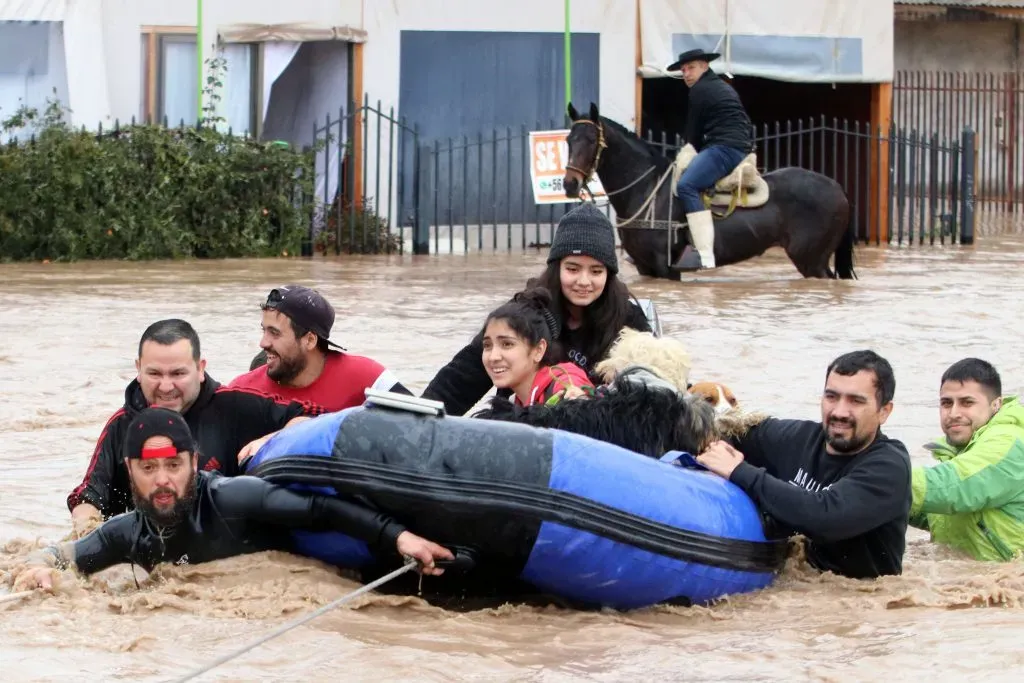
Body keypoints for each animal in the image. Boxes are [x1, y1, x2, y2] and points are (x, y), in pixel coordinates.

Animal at [561, 100, 856, 280]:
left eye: (591, 141)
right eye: (568, 139)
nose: (569, 183)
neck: (647, 190)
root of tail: (837, 187)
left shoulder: (666, 268)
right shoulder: (646, 268)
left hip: (812, 261)